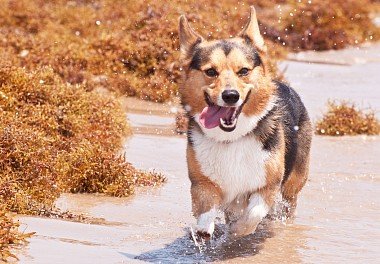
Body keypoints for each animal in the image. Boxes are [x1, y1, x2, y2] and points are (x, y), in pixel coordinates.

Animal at [178, 5, 312, 239]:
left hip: (293, 183)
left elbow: (252, 214)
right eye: (210, 72)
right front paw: (204, 230)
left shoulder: (267, 186)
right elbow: (205, 210)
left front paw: (239, 230)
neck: (232, 138)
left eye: (243, 71)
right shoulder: (202, 183)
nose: (230, 96)